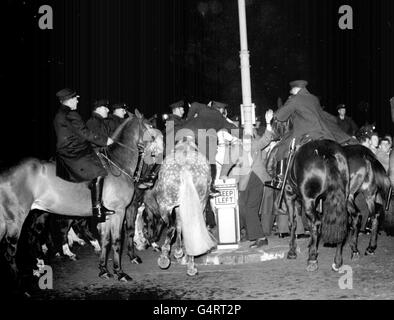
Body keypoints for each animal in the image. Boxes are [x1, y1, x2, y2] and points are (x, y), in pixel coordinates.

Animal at [141, 139, 215, 276]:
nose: (149, 237)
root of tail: (185, 167)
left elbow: (177, 226)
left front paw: (177, 252)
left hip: (166, 206)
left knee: (171, 228)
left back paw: (164, 258)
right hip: (199, 203)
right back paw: (191, 266)